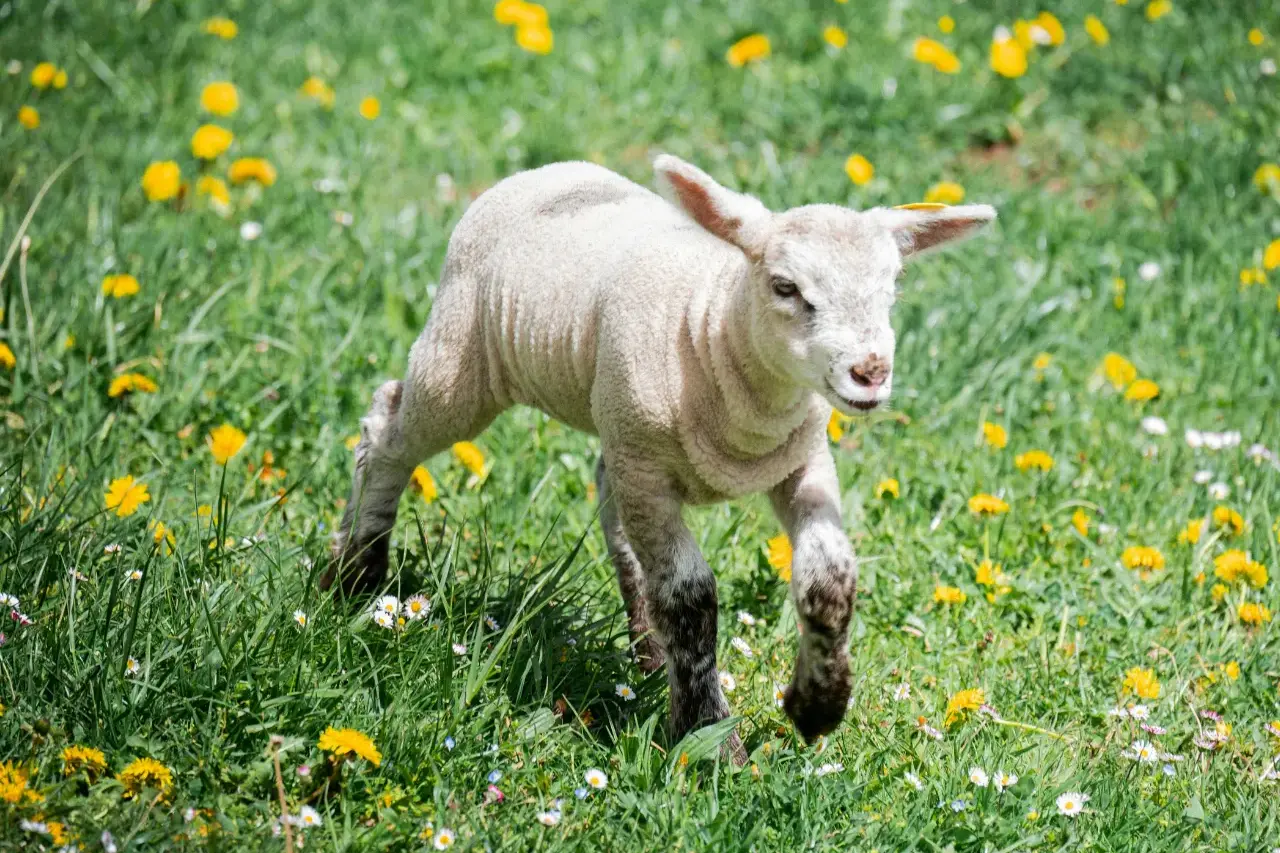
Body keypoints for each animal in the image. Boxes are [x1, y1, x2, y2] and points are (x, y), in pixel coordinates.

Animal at [324, 155, 995, 755]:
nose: (870, 373)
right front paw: (710, 738)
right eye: (786, 287)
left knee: (608, 500)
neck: (713, 331)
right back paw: (354, 577)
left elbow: (829, 579)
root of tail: (543, 171)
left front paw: (816, 707)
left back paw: (647, 653)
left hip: (614, 427)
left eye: (892, 290)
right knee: (387, 427)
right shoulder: (649, 470)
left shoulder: (802, 462)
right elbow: (689, 596)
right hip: (463, 360)